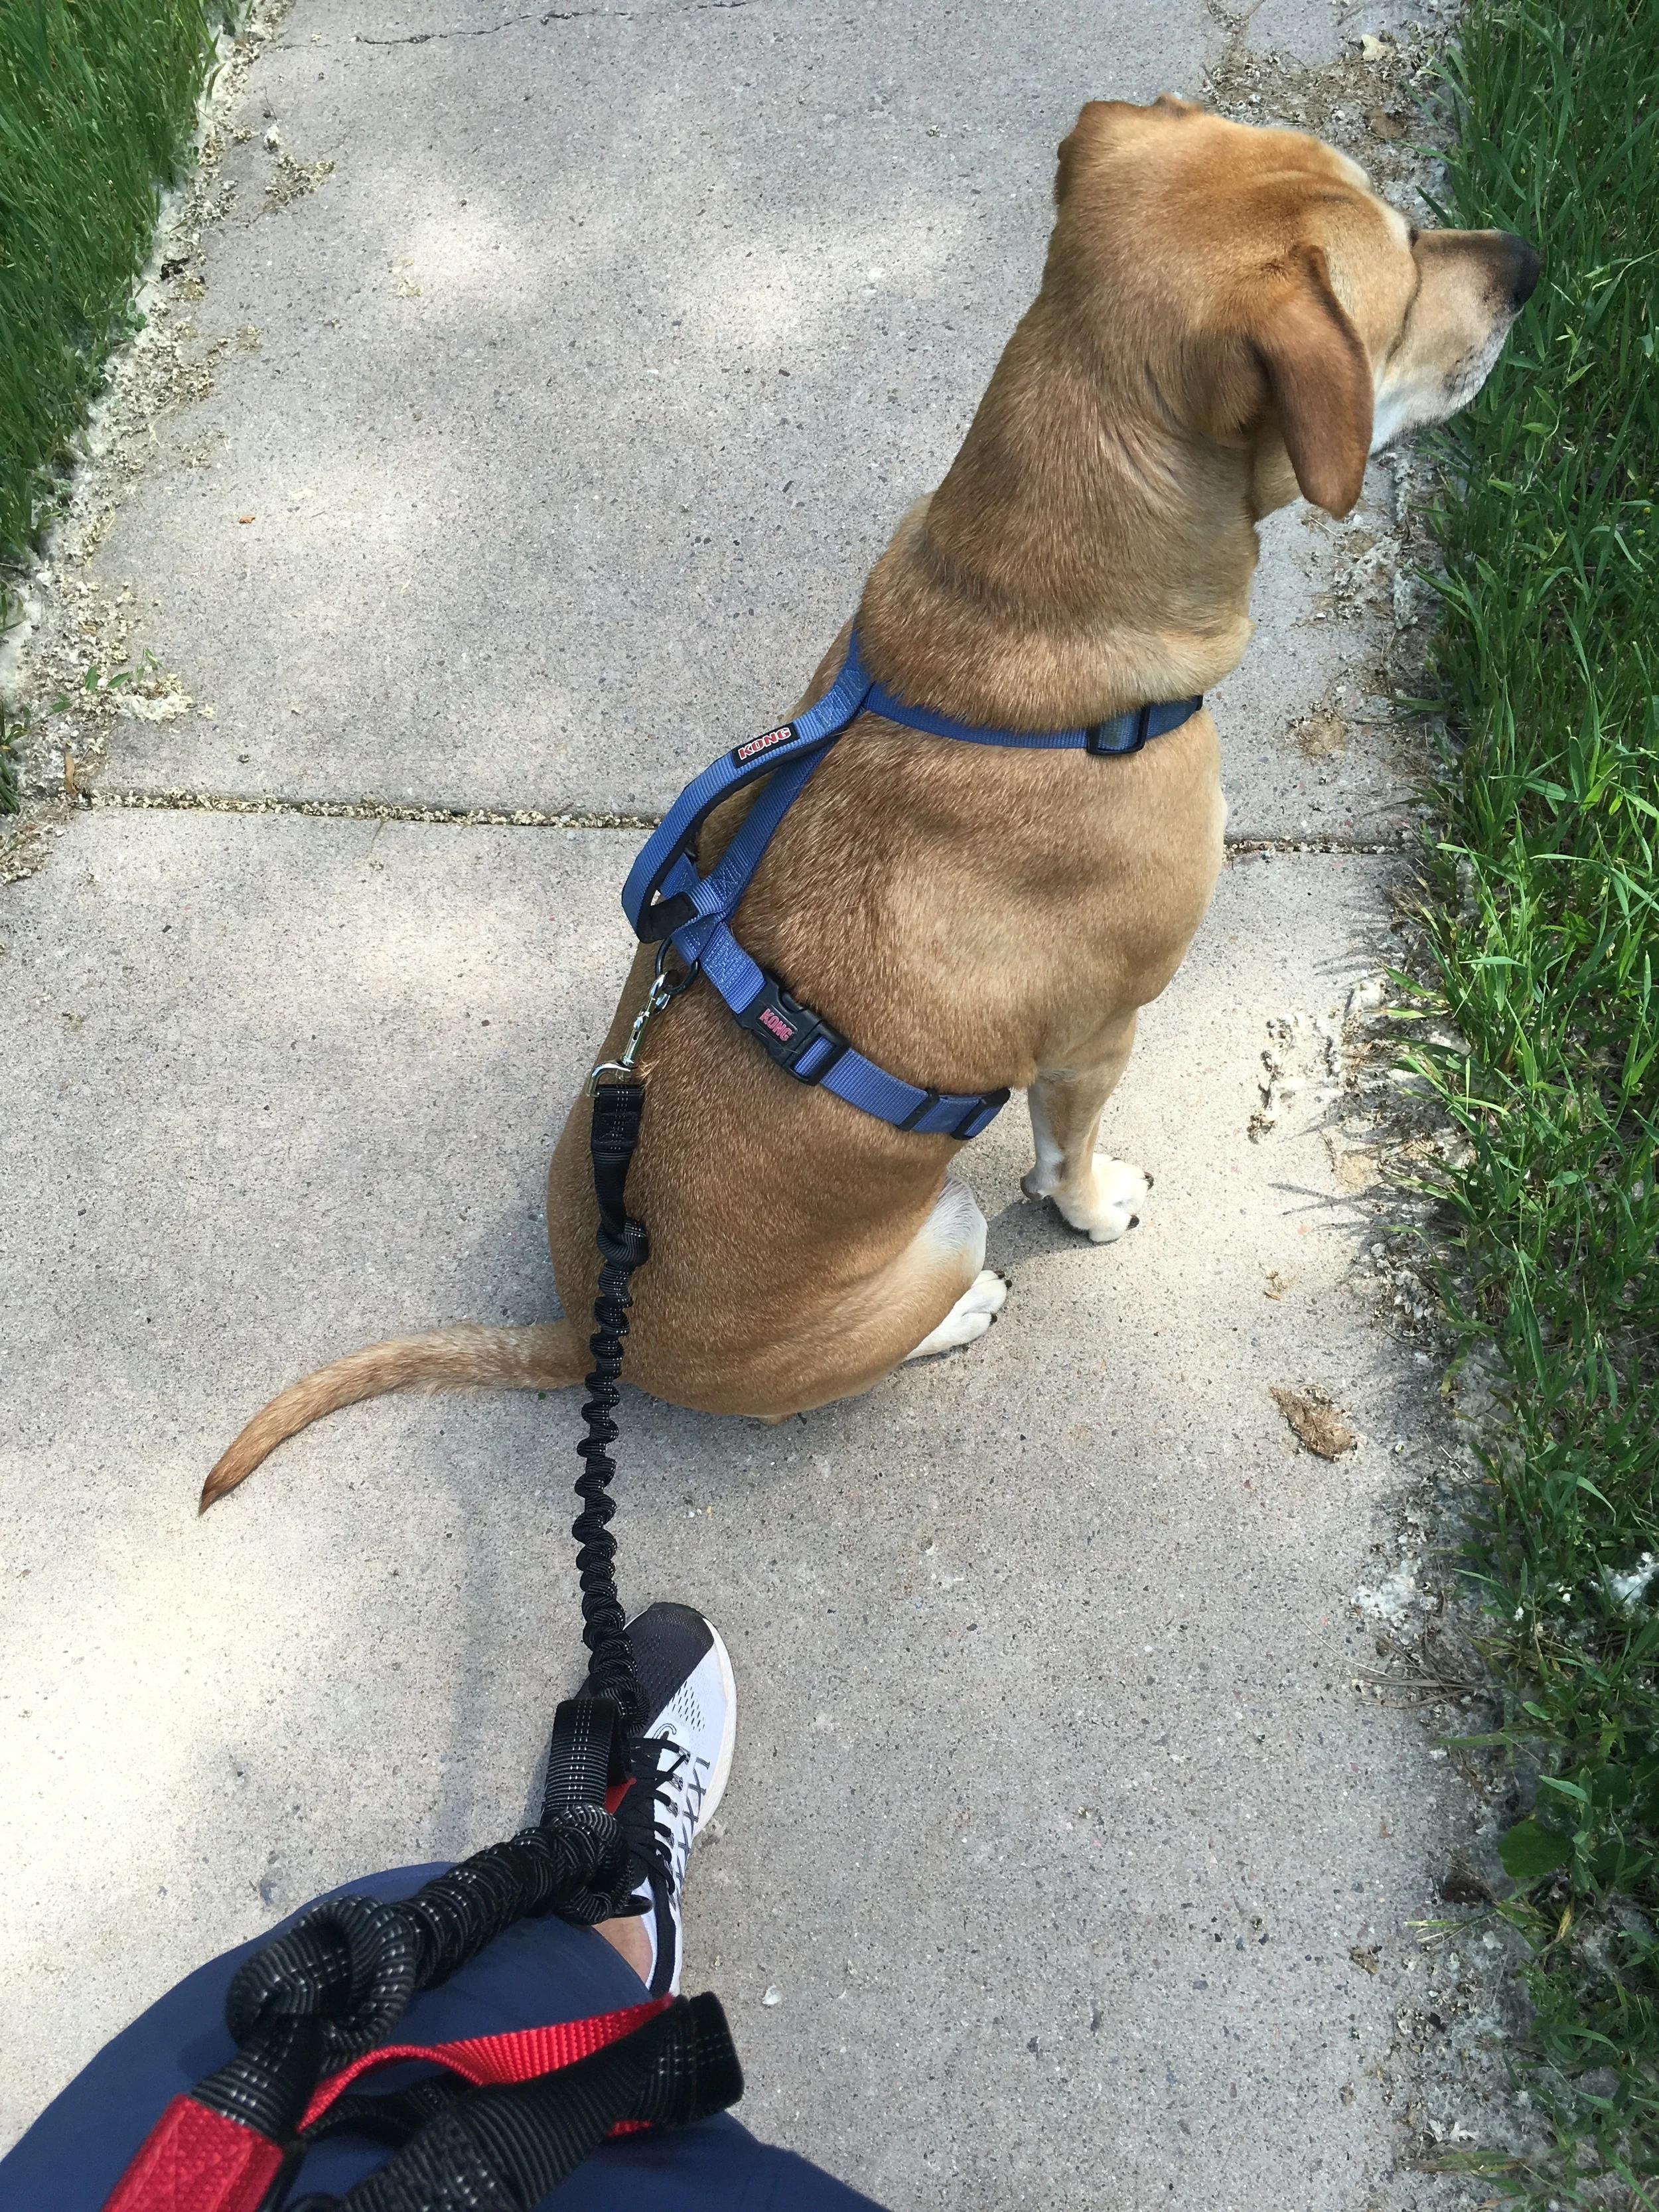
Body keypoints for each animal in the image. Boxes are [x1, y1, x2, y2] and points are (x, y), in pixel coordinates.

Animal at [201, 86, 1540, 1504]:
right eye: (1400, 268)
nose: (1526, 261)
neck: (1023, 607)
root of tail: (580, 1327)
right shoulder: (1097, 1033)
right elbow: (1067, 1156)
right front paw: (1095, 1205)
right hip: (941, 1226)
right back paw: (963, 1311)